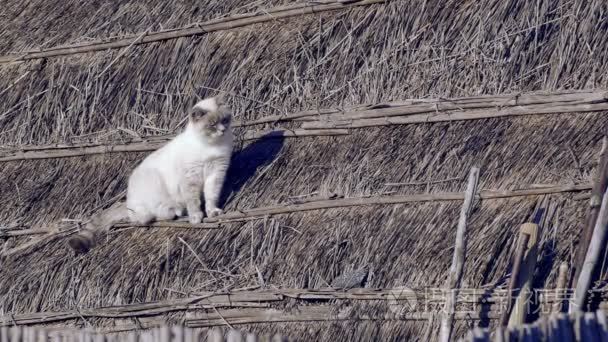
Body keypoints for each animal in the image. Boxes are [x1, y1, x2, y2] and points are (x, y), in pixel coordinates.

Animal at [67, 95, 234, 252]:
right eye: (212, 124)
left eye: (225, 120)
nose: (222, 130)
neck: (211, 146)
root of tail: (127, 203)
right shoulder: (190, 178)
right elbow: (193, 201)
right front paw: (196, 217)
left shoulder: (216, 174)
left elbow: (211, 197)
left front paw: (213, 212)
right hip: (154, 182)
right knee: (148, 216)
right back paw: (175, 211)